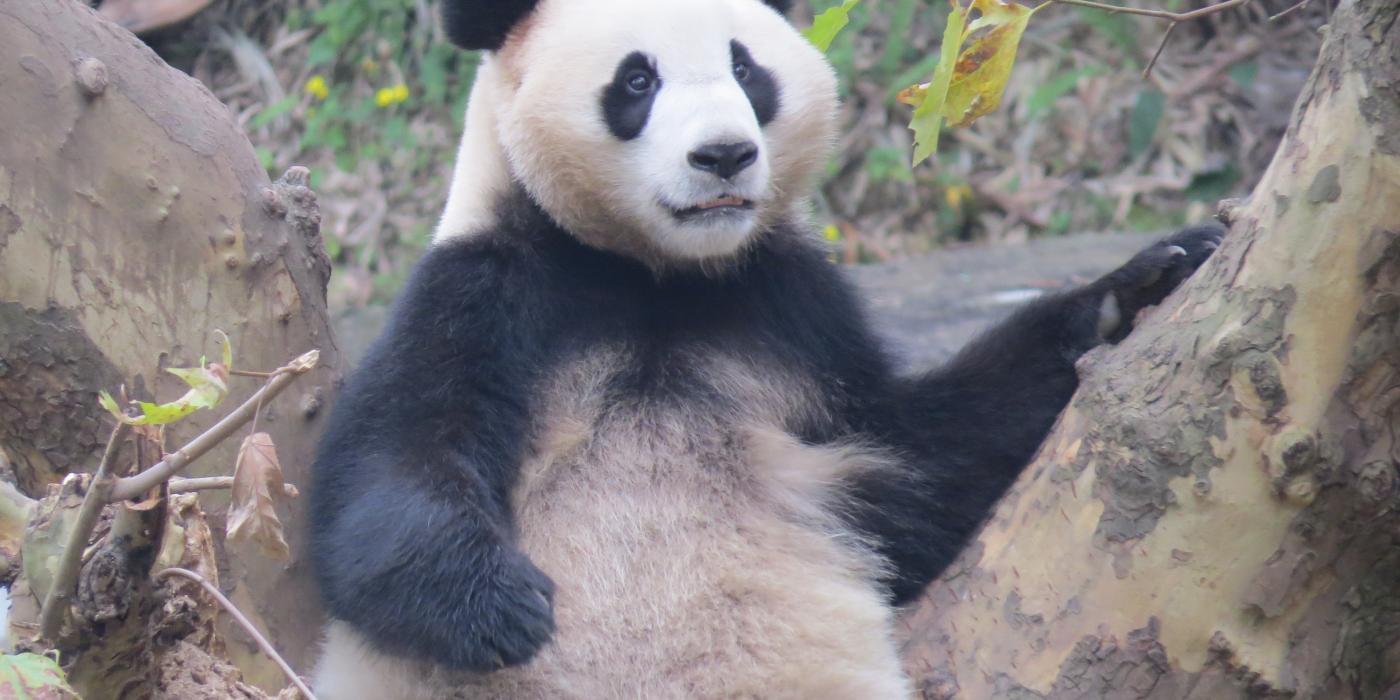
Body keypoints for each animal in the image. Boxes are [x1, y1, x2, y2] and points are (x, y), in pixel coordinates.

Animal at [303, 0, 1215, 697]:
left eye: (747, 71)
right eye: (637, 81)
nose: (725, 155)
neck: (659, 278)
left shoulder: (796, 316)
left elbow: (920, 456)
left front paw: (1140, 284)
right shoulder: (493, 286)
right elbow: (388, 469)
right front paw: (499, 606)